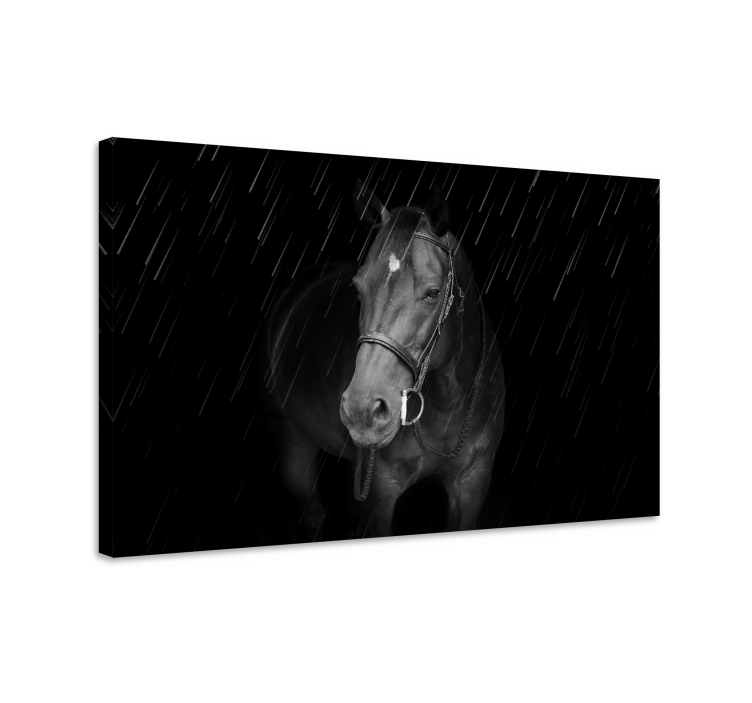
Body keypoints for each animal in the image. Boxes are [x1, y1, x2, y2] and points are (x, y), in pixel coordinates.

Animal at [260, 180, 505, 540]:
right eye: (358, 289)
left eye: (433, 293)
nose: (361, 410)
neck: (446, 402)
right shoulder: (380, 492)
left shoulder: (473, 483)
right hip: (292, 443)